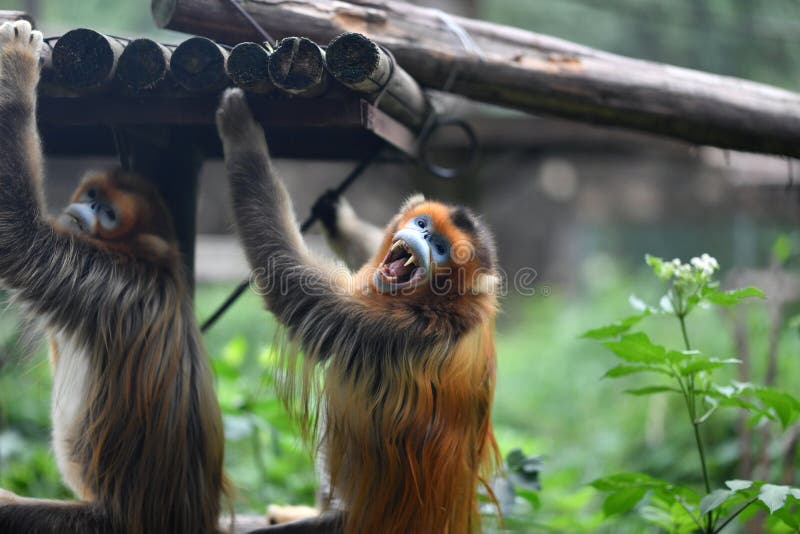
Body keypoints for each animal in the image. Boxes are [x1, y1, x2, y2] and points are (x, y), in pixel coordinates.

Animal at [0, 21, 227, 534]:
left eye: (107, 213)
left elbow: (16, 235)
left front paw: (17, 72)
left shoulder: (98, 279)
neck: (148, 262)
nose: (83, 211)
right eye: (92, 196)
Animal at [217, 88, 501, 534]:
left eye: (441, 249)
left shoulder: (386, 326)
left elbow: (286, 277)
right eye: (422, 225)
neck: (446, 306)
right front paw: (338, 216)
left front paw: (241, 132)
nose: (421, 238)